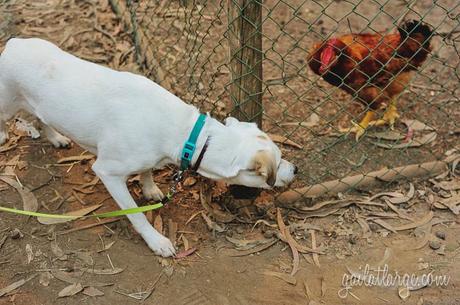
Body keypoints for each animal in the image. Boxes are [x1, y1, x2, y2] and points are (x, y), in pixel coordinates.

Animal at [0, 38, 296, 256]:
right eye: (277, 163)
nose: (296, 169)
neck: (186, 132)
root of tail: (14, 42)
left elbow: (147, 171)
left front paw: (150, 188)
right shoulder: (107, 172)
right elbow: (137, 216)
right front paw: (157, 241)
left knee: (41, 118)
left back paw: (55, 137)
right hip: (7, 104)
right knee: (7, 119)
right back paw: (4, 135)